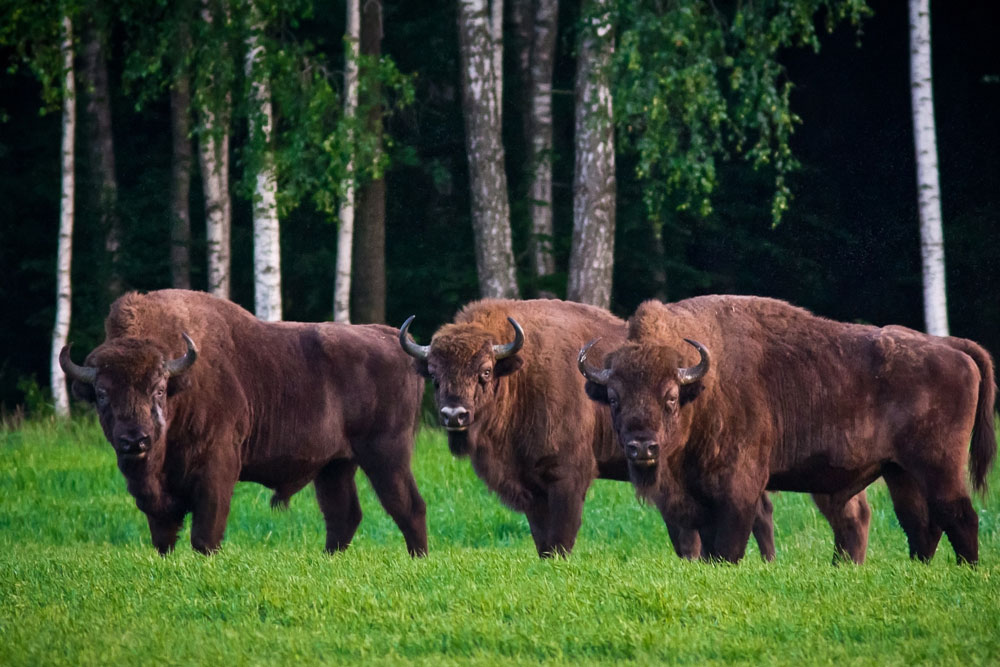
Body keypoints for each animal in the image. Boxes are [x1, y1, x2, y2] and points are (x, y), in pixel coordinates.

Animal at [58, 290, 426, 556]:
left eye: (159, 388)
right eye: (102, 393)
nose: (135, 440)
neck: (183, 383)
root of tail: (393, 339)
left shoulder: (218, 469)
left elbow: (205, 534)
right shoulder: (154, 494)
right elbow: (163, 535)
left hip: (386, 454)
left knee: (408, 506)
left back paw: (417, 558)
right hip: (335, 465)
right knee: (343, 515)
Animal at [398, 298, 860, 560]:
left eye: (484, 371)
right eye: (434, 375)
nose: (454, 415)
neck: (521, 369)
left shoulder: (568, 476)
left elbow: (561, 535)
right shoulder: (530, 484)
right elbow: (541, 536)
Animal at [576, 298, 996, 564]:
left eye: (671, 397)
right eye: (613, 398)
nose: (641, 447)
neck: (706, 386)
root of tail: (951, 347)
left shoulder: (738, 490)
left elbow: (727, 548)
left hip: (939, 466)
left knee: (959, 515)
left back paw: (967, 571)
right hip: (900, 472)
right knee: (920, 524)